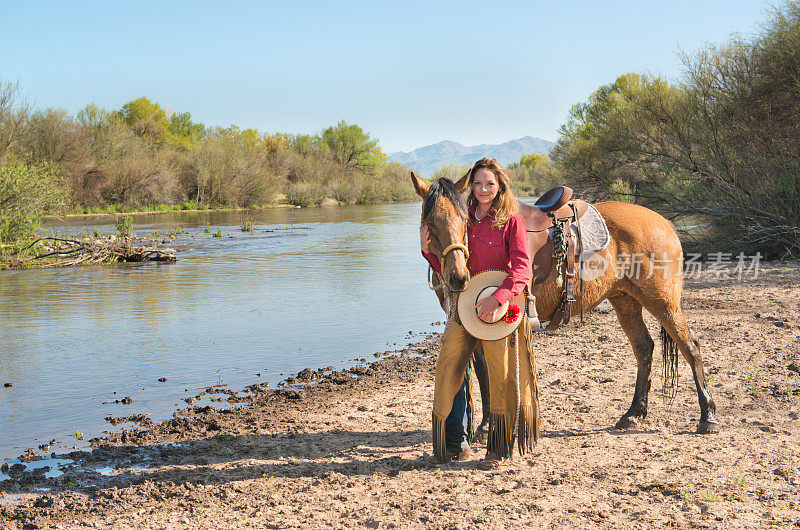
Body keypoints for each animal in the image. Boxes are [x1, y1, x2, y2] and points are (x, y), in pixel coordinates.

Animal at [416, 173, 720, 434]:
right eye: (430, 224)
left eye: (464, 220)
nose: (458, 277)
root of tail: (664, 222)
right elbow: (481, 371)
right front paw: (485, 424)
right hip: (625, 300)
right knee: (644, 348)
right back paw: (634, 413)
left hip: (663, 302)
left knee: (690, 346)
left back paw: (707, 416)